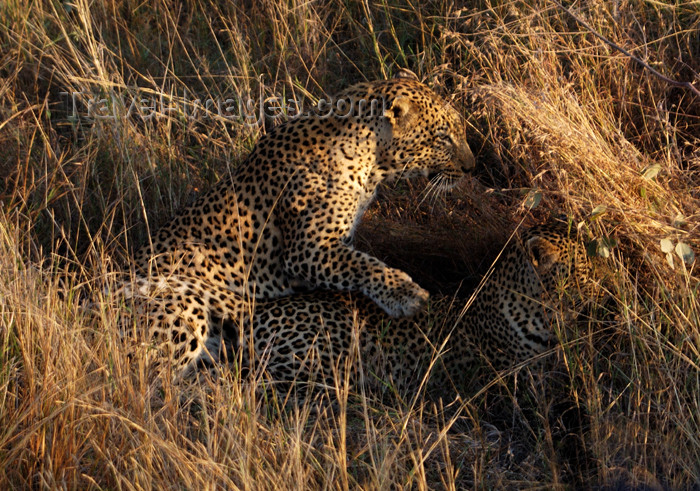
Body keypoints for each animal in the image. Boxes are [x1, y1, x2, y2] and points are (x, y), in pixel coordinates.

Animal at [123, 71, 478, 378]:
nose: (471, 167)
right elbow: (365, 266)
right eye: (444, 137)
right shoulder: (308, 250)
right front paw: (406, 295)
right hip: (182, 305)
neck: (370, 161)